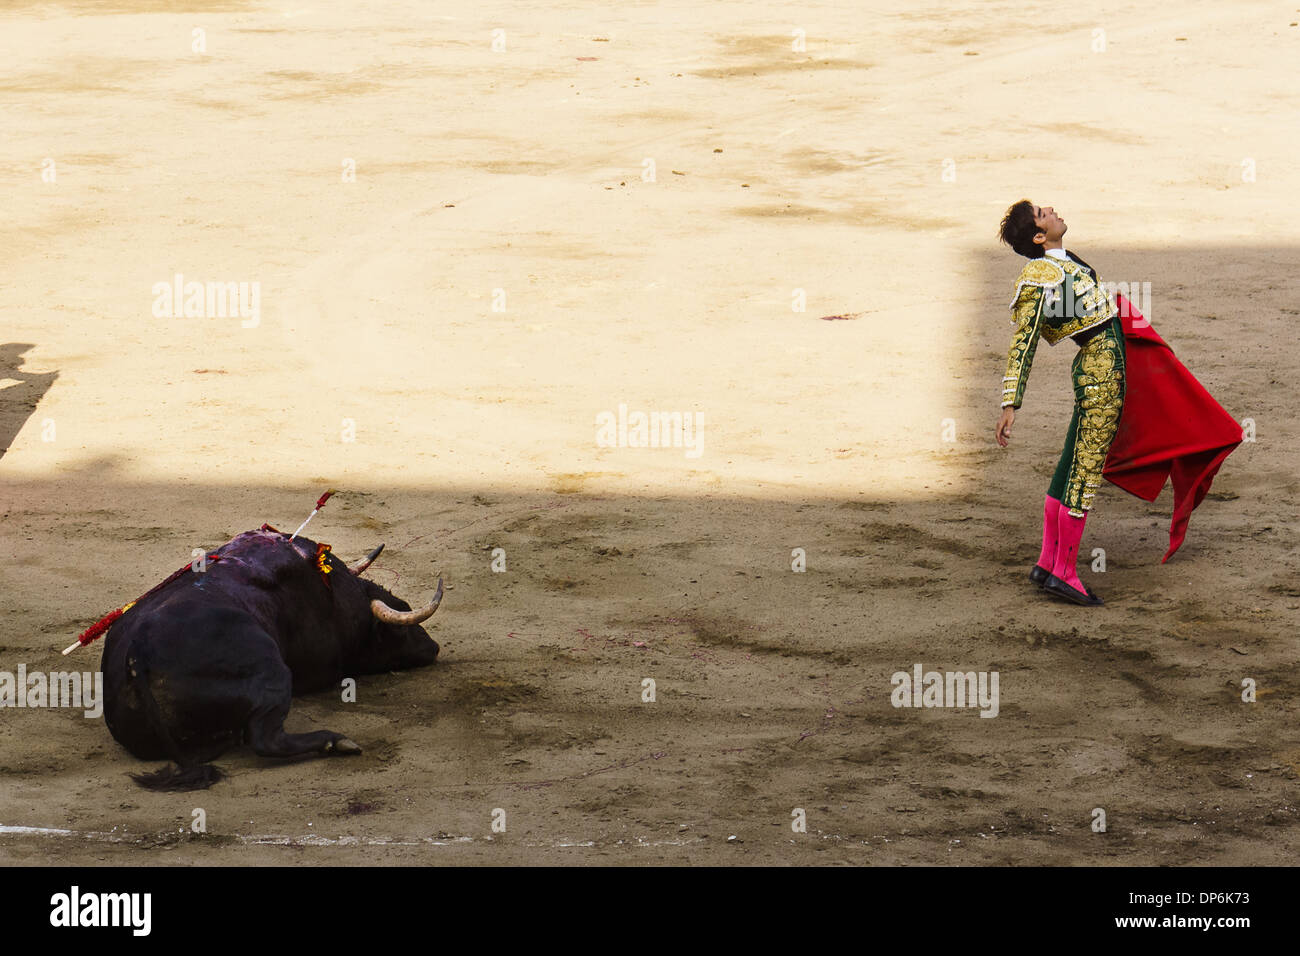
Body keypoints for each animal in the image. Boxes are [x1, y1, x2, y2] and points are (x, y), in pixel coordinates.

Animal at [97, 528, 441, 790]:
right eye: (399, 629)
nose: (434, 647)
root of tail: (138, 654)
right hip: (274, 673)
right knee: (267, 739)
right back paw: (335, 741)